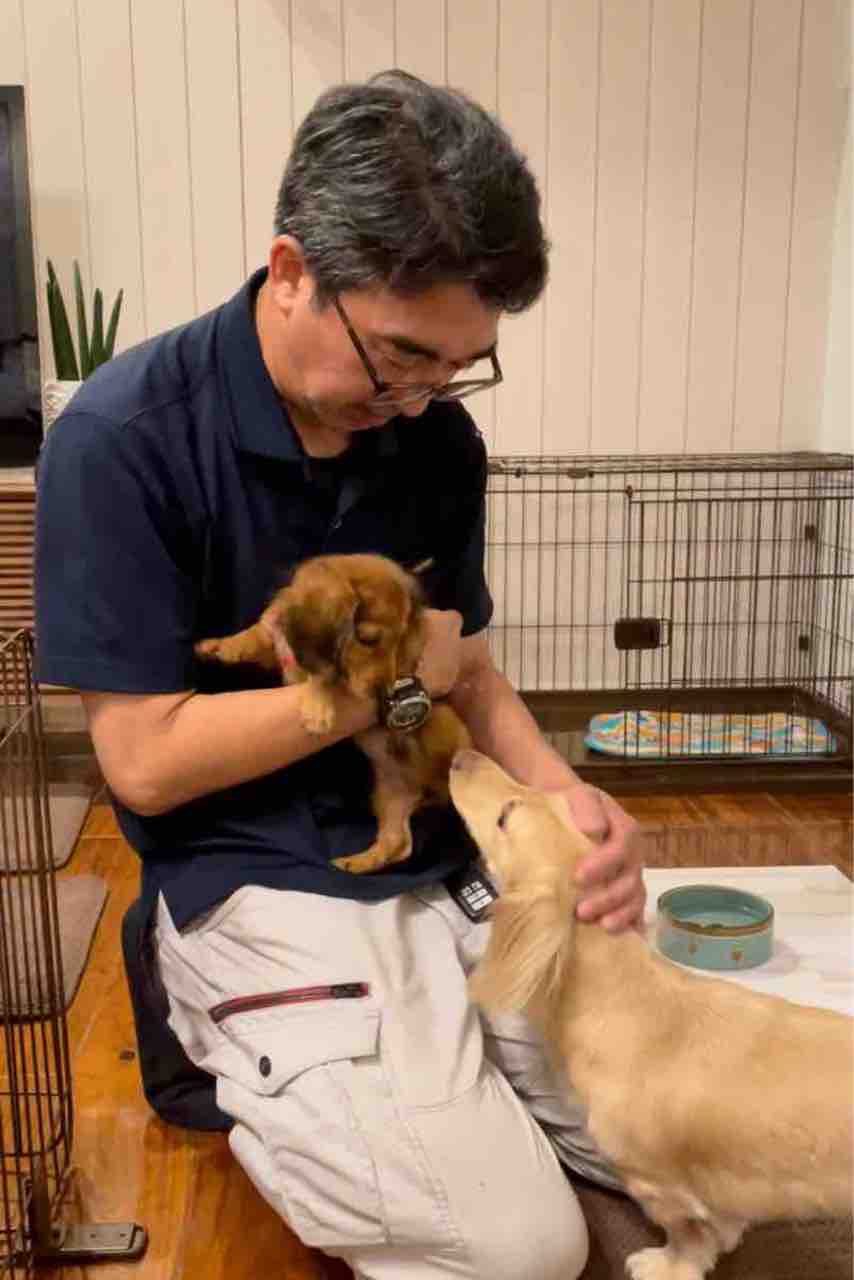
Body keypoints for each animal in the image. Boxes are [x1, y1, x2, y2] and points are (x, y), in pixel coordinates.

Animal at [196, 553, 471, 874]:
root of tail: (427, 786)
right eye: (368, 639)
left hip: (445, 724)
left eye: (400, 641)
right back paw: (357, 863)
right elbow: (257, 633)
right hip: (388, 794)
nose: (385, 693)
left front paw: (317, 712)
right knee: (397, 843)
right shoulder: (277, 641)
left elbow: (323, 674)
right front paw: (221, 645)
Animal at [448, 748, 853, 1280]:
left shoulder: (660, 1187)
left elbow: (689, 1238)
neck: (627, 997)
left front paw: (665, 1264)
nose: (461, 755)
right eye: (546, 794)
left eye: (506, 816)